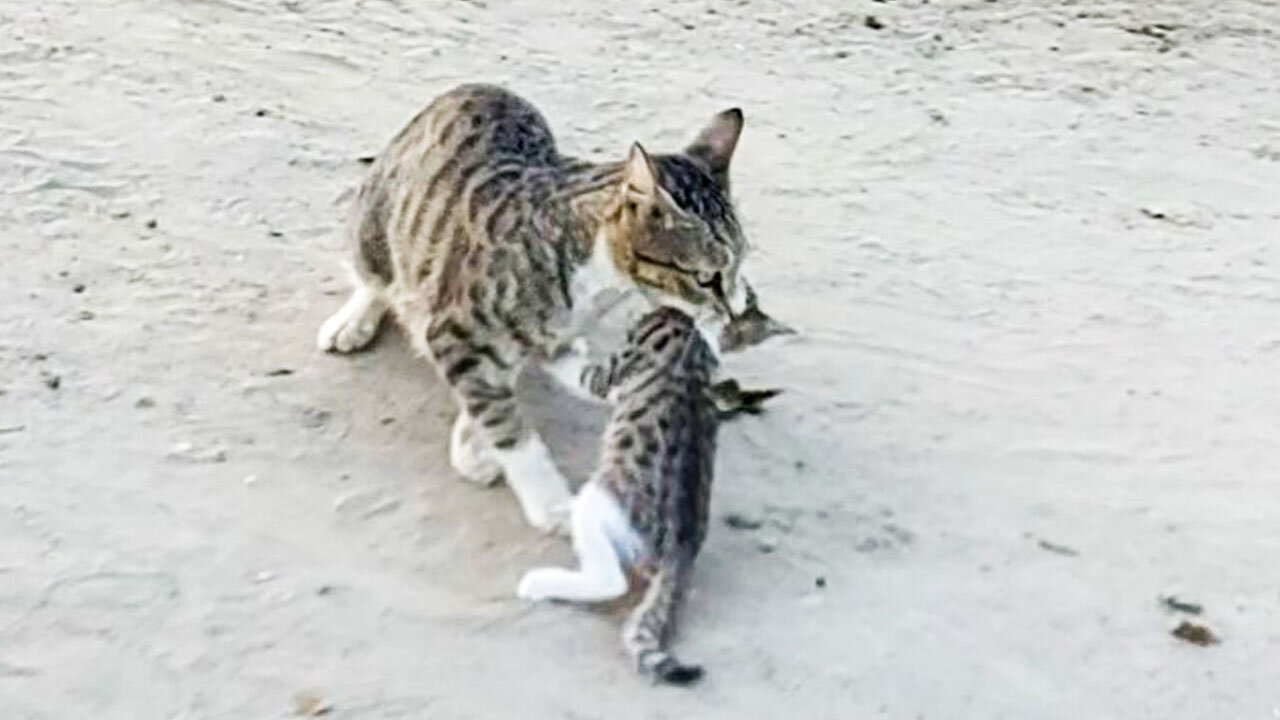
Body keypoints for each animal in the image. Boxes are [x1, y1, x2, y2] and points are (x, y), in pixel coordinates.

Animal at [317, 85, 747, 532]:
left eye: (739, 264)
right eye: (706, 278)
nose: (735, 311)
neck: (601, 285)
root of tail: (478, 87)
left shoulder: (545, 338)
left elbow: (512, 382)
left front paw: (474, 441)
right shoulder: (454, 330)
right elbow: (505, 423)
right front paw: (550, 501)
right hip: (378, 221)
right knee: (374, 274)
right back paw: (355, 318)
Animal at [517, 303, 721, 681]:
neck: (684, 331)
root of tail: (681, 550)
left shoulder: (613, 370)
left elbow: (585, 375)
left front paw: (559, 350)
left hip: (600, 501)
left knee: (611, 581)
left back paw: (538, 581)